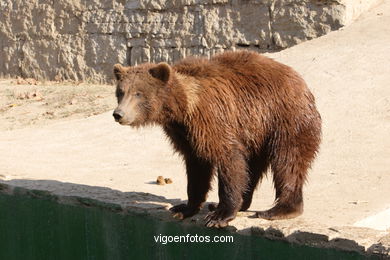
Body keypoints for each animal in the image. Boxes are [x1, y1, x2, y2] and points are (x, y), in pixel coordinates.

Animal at [112, 50, 320, 228]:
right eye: (120, 92)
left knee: (288, 161)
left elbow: (228, 159)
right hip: (256, 133)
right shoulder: (184, 133)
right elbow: (197, 167)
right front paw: (184, 208)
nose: (118, 114)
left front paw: (219, 216)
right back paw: (241, 202)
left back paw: (279, 210)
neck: (183, 109)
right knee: (253, 167)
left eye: (138, 93)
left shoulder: (212, 119)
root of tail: (301, 83)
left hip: (284, 119)